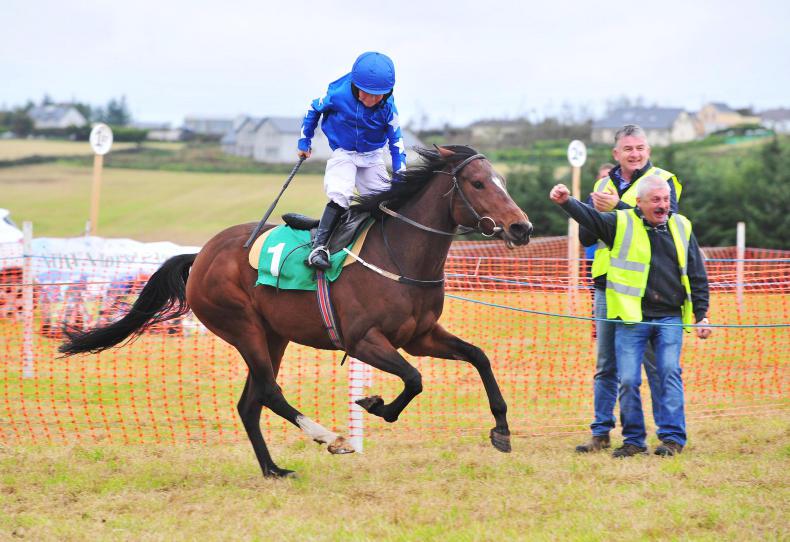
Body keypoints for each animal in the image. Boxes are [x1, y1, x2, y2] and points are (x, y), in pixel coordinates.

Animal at [60, 145, 533, 478]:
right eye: (478, 184)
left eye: (501, 180)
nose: (522, 227)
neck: (398, 258)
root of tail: (202, 254)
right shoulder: (364, 341)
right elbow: (414, 379)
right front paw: (376, 405)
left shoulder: (420, 336)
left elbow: (478, 357)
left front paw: (501, 429)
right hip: (243, 328)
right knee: (269, 393)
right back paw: (330, 437)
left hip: (274, 336)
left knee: (249, 403)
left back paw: (273, 469)